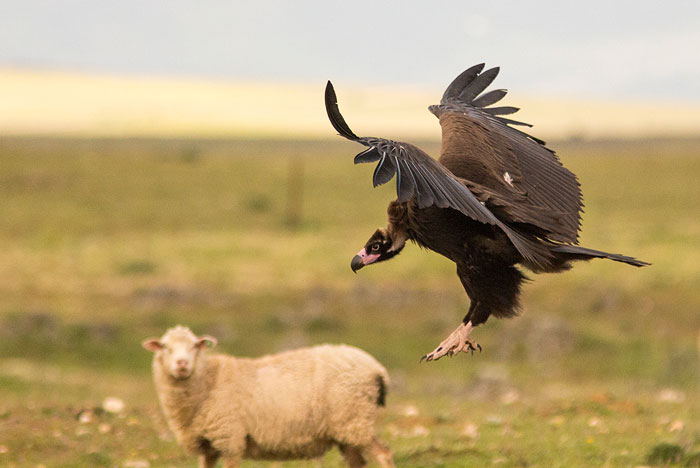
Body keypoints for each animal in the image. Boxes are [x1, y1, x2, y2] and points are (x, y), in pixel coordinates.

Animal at [144, 326, 394, 468]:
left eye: (195, 346)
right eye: (165, 347)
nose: (182, 364)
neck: (209, 382)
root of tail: (377, 369)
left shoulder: (230, 439)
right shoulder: (208, 447)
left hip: (355, 419)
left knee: (384, 455)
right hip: (347, 429)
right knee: (358, 462)